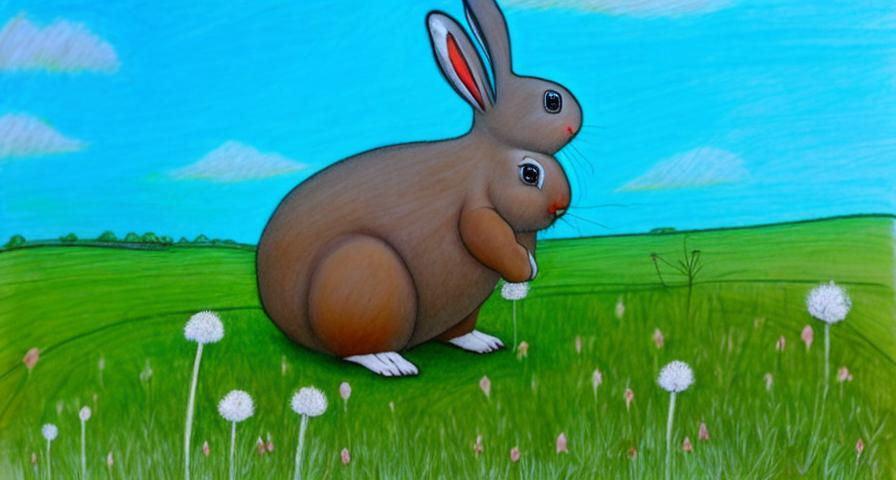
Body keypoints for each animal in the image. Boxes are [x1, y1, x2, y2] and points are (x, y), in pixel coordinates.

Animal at [256, 0, 581, 376]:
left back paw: (481, 342)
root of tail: (281, 313)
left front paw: (530, 270)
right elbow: (487, 237)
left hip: (459, 308)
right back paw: (390, 362)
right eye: (530, 174)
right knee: (354, 349)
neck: (490, 158)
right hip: (366, 277)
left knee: (454, 331)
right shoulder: (477, 212)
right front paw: (526, 271)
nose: (560, 205)